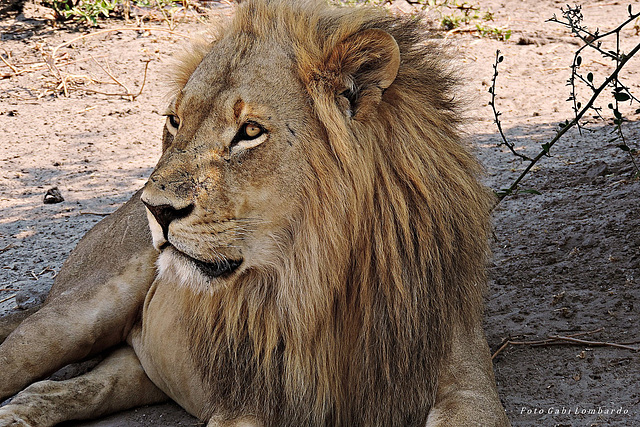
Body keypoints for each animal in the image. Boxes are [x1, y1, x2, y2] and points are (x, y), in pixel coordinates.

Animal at [0, 0, 510, 426]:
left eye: (249, 132)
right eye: (175, 122)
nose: (156, 209)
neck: (319, 279)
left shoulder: (464, 379)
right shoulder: (250, 399)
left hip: (141, 366)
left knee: (60, 389)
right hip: (75, 316)